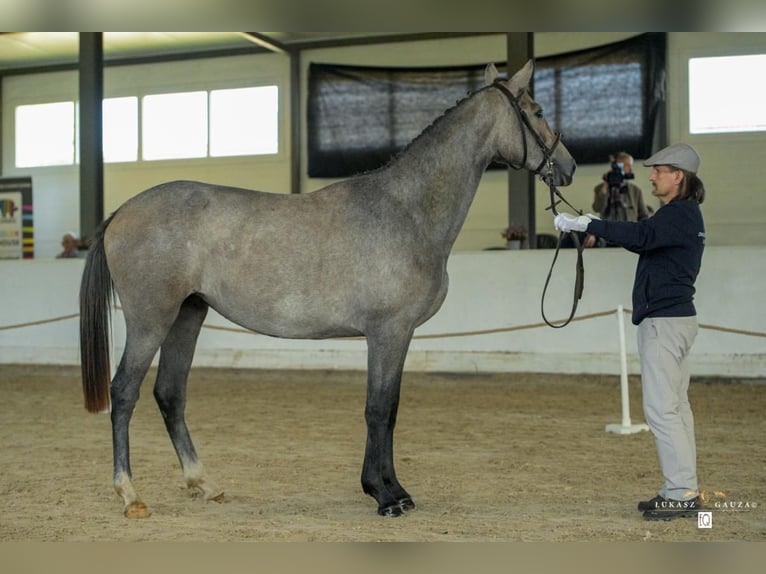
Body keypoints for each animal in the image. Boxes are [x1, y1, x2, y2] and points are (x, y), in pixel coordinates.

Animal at [80, 60, 576, 518]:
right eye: (537, 110)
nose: (568, 167)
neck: (406, 210)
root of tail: (122, 211)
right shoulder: (387, 332)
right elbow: (378, 410)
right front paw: (383, 495)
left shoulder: (400, 335)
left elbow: (391, 409)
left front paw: (395, 490)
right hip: (151, 319)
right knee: (124, 393)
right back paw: (129, 495)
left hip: (188, 313)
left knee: (170, 393)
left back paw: (204, 483)